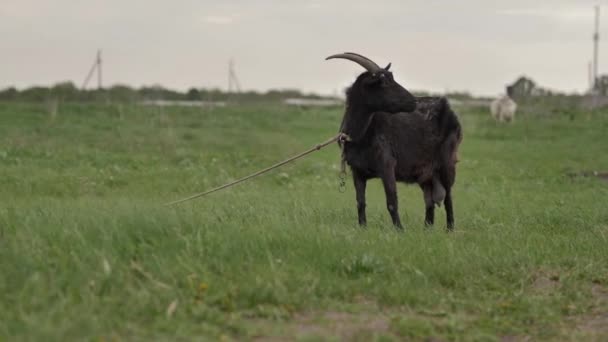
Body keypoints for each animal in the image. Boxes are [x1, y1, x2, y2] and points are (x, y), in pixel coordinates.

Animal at [328, 52, 460, 230]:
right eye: (383, 82)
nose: (413, 101)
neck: (361, 134)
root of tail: (449, 110)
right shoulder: (357, 171)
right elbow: (360, 202)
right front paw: (363, 228)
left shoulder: (387, 165)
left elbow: (391, 202)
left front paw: (400, 230)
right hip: (424, 172)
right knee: (429, 200)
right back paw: (427, 229)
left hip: (447, 162)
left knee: (448, 197)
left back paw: (450, 229)